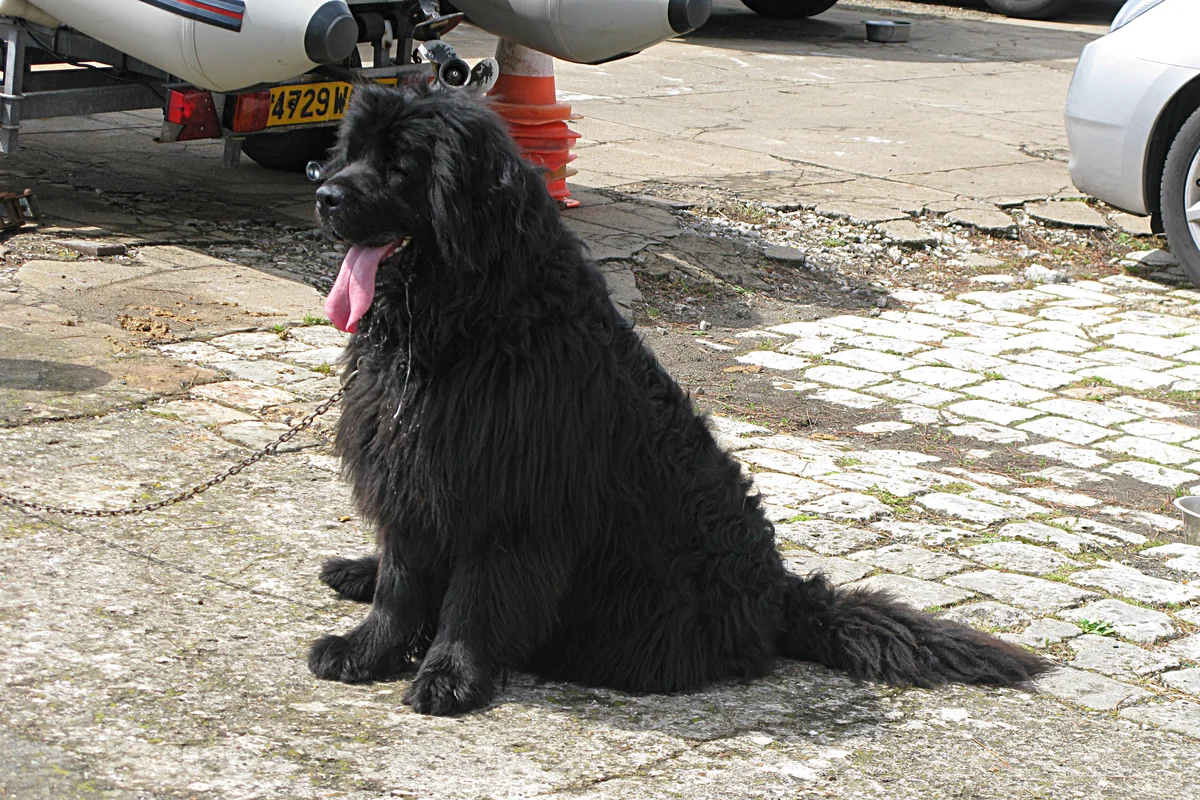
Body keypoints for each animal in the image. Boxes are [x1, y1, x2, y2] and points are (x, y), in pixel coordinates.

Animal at [309, 84, 1051, 714]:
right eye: (352, 152)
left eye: (399, 166)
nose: (323, 193)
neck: (464, 326)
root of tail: (779, 595)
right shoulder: (406, 470)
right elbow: (401, 583)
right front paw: (365, 649)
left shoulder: (508, 499)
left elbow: (473, 599)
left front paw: (449, 676)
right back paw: (356, 569)